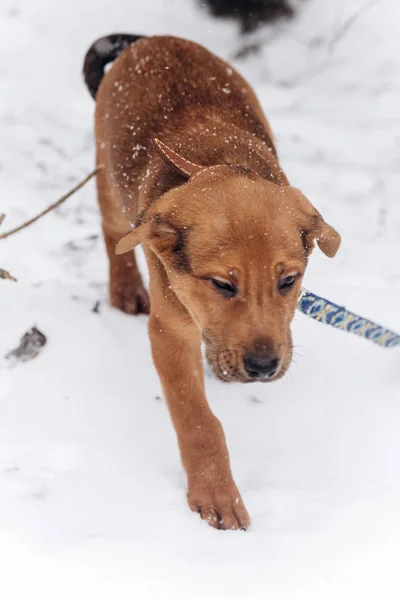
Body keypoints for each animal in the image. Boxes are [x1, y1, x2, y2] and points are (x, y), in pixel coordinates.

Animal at [83, 34, 340, 528]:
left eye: (289, 280)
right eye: (222, 284)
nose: (263, 368)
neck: (214, 163)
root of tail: (148, 39)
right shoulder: (168, 332)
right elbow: (199, 421)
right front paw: (216, 495)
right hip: (106, 167)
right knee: (111, 231)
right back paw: (125, 288)